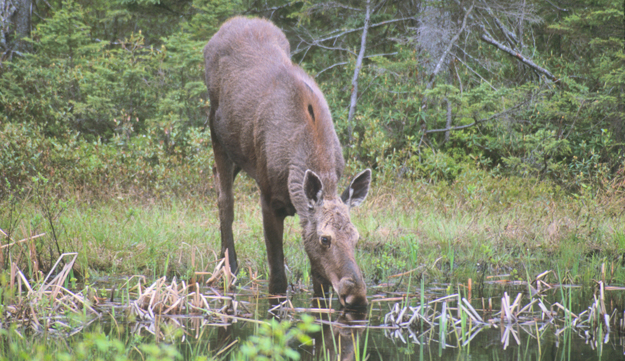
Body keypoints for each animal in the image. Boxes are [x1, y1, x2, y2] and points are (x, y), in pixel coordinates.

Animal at [205, 16, 370, 308]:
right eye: (325, 239)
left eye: (356, 236)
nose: (357, 295)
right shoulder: (269, 199)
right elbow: (277, 283)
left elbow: (319, 282)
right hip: (215, 129)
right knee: (225, 198)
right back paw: (229, 267)